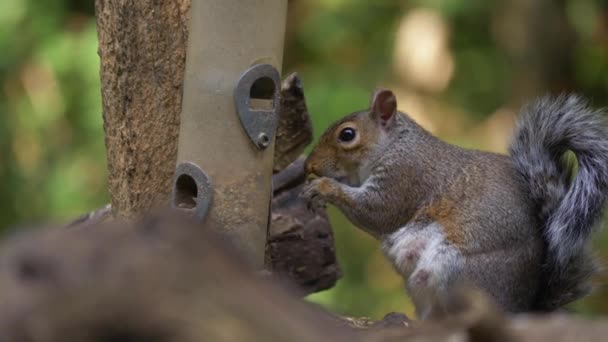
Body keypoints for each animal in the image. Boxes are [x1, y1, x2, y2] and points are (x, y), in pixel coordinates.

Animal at [302, 88, 608, 318]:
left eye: (347, 134)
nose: (309, 165)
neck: (394, 145)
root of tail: (521, 310)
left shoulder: (405, 177)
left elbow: (377, 212)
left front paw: (323, 188)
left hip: (454, 275)